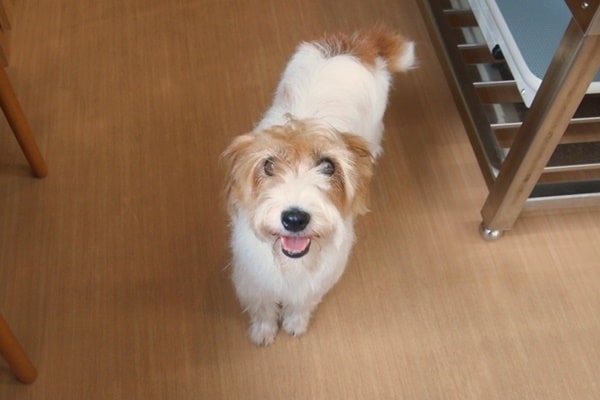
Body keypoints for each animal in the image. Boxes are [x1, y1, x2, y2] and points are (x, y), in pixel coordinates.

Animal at [222, 26, 415, 346]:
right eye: (269, 165)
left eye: (328, 166)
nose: (295, 218)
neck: (292, 263)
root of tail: (355, 44)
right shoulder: (253, 278)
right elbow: (263, 307)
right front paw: (264, 331)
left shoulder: (316, 282)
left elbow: (302, 304)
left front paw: (294, 323)